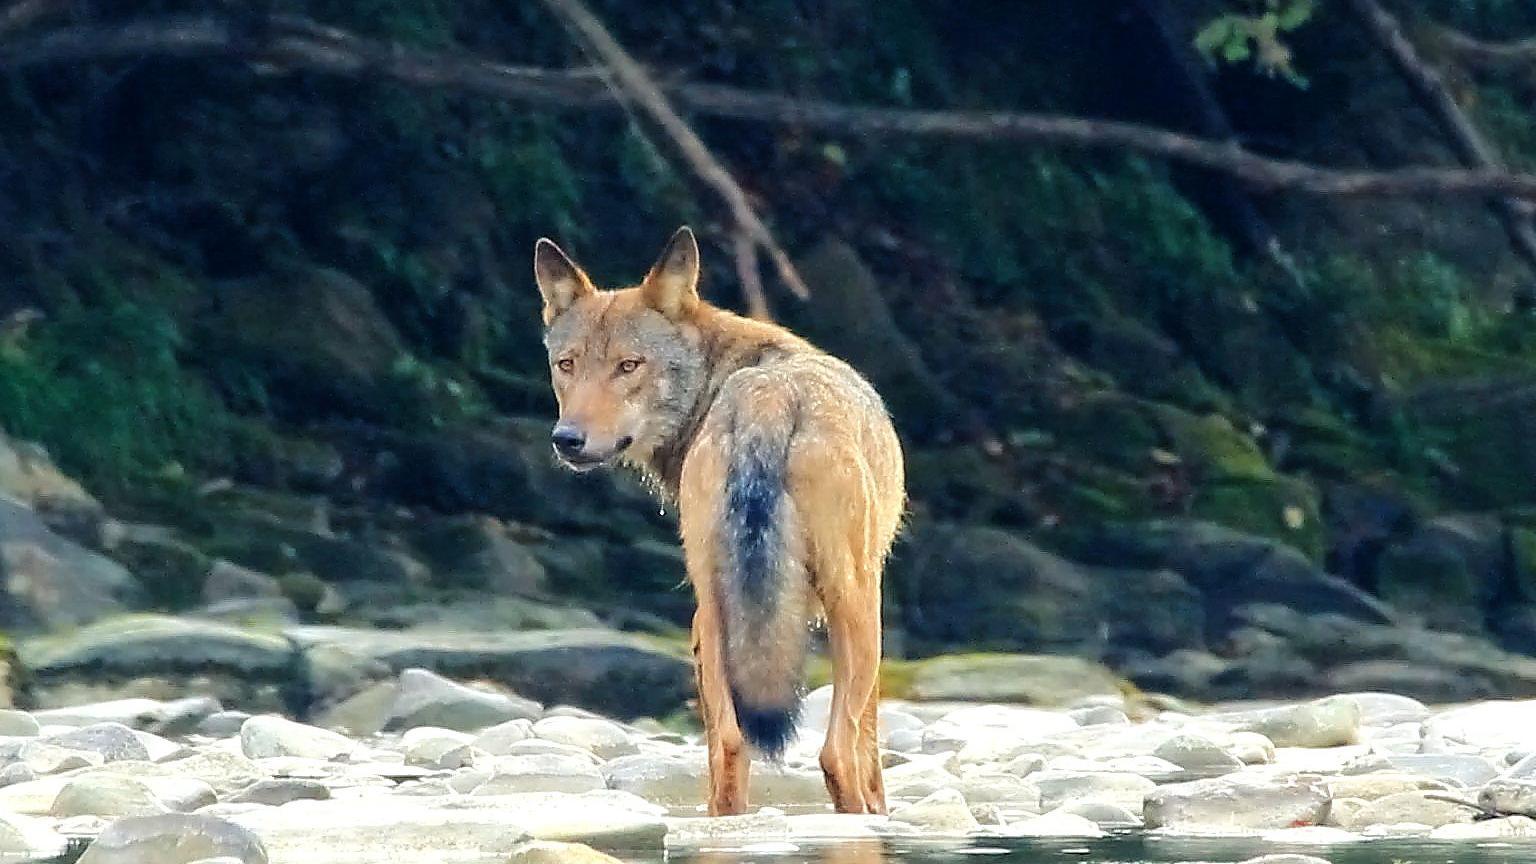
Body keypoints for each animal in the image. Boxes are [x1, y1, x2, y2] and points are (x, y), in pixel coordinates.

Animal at [534, 225, 903, 811]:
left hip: (710, 610)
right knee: (836, 753)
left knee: (730, 743)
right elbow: (871, 748)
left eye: (628, 365)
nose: (567, 439)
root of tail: (766, 402)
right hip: (856, 607)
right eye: (567, 365)